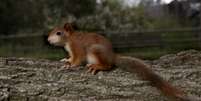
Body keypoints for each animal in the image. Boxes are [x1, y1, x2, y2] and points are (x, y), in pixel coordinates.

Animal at [48, 22, 200, 101]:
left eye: (59, 33)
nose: (48, 40)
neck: (69, 40)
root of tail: (112, 56)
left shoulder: (77, 48)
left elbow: (77, 60)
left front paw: (70, 65)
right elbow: (71, 58)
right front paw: (66, 59)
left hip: (95, 50)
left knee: (108, 65)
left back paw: (98, 66)